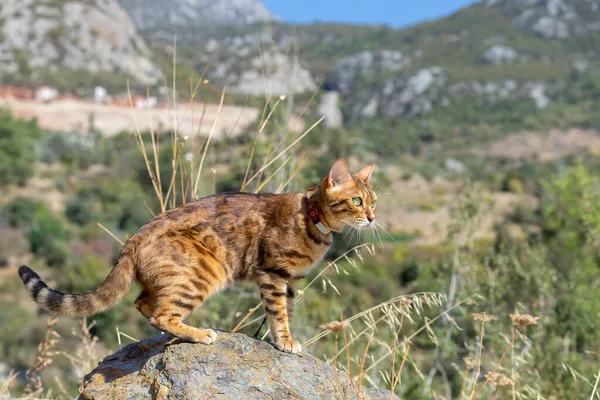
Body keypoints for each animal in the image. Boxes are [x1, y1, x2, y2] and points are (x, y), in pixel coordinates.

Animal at [18, 158, 378, 352]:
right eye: (357, 201)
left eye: (374, 201)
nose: (374, 217)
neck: (312, 217)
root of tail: (133, 238)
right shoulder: (273, 273)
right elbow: (279, 313)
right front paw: (286, 341)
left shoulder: (290, 280)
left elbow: (284, 312)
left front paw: (283, 338)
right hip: (203, 273)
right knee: (161, 313)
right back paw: (199, 333)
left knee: (145, 305)